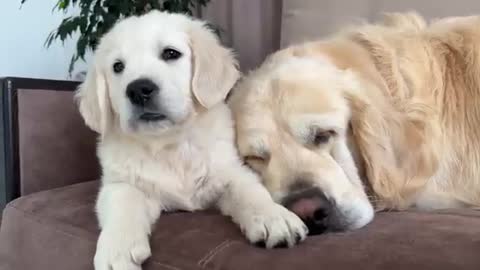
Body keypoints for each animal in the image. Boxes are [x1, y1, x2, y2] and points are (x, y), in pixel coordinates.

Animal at [75, 10, 308, 270]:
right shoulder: (119, 183)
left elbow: (250, 191)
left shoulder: (231, 172)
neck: (170, 144)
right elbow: (123, 203)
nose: (138, 89)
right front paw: (116, 249)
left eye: (170, 53)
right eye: (117, 67)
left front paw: (274, 217)